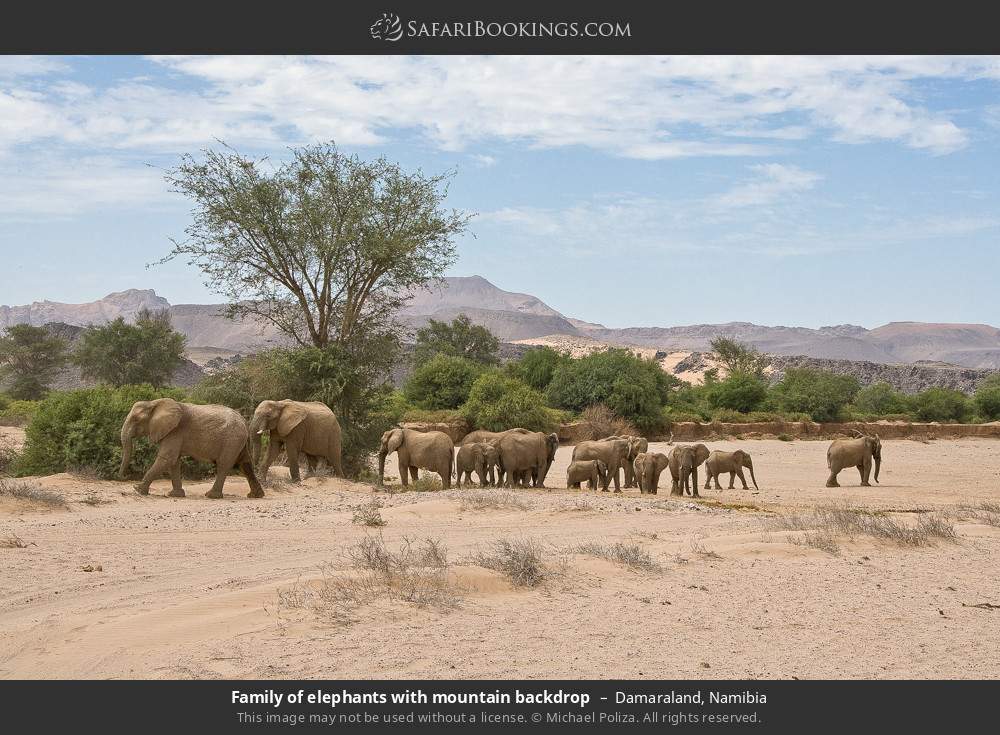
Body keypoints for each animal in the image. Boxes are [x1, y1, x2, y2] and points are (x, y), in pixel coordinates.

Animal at [119, 398, 263, 499]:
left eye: (136, 419)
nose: (123, 477)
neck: (154, 403)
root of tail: (244, 422)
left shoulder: (175, 431)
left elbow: (167, 459)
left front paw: (137, 489)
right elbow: (174, 462)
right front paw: (175, 495)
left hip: (232, 440)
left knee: (224, 465)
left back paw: (211, 495)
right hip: (238, 441)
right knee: (245, 464)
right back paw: (255, 495)